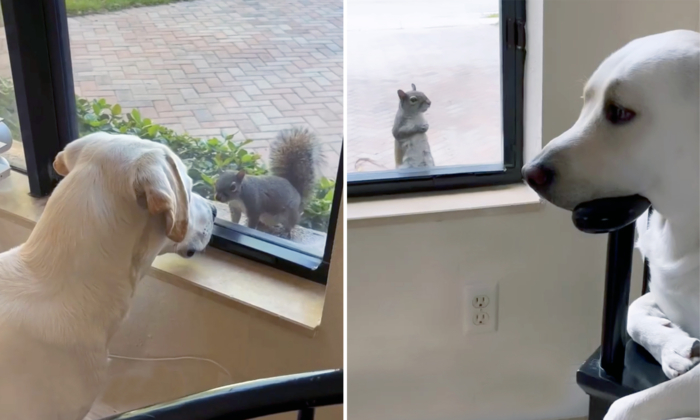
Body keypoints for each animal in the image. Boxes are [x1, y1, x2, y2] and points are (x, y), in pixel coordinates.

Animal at [524, 30, 700, 420]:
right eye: (586, 102)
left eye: (619, 112)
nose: (529, 172)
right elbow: (634, 311)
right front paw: (674, 346)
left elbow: (624, 405)